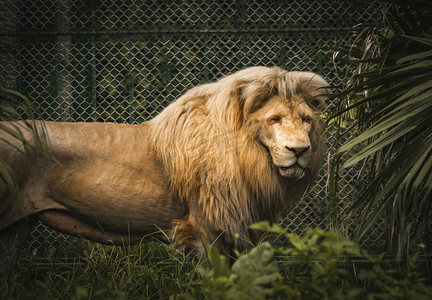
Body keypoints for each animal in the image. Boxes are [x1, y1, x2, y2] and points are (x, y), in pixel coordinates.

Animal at [0, 67, 328, 274]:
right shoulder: (204, 227)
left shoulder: (237, 228)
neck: (250, 157)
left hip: (17, 226)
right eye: (274, 119)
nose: (299, 151)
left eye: (306, 119)